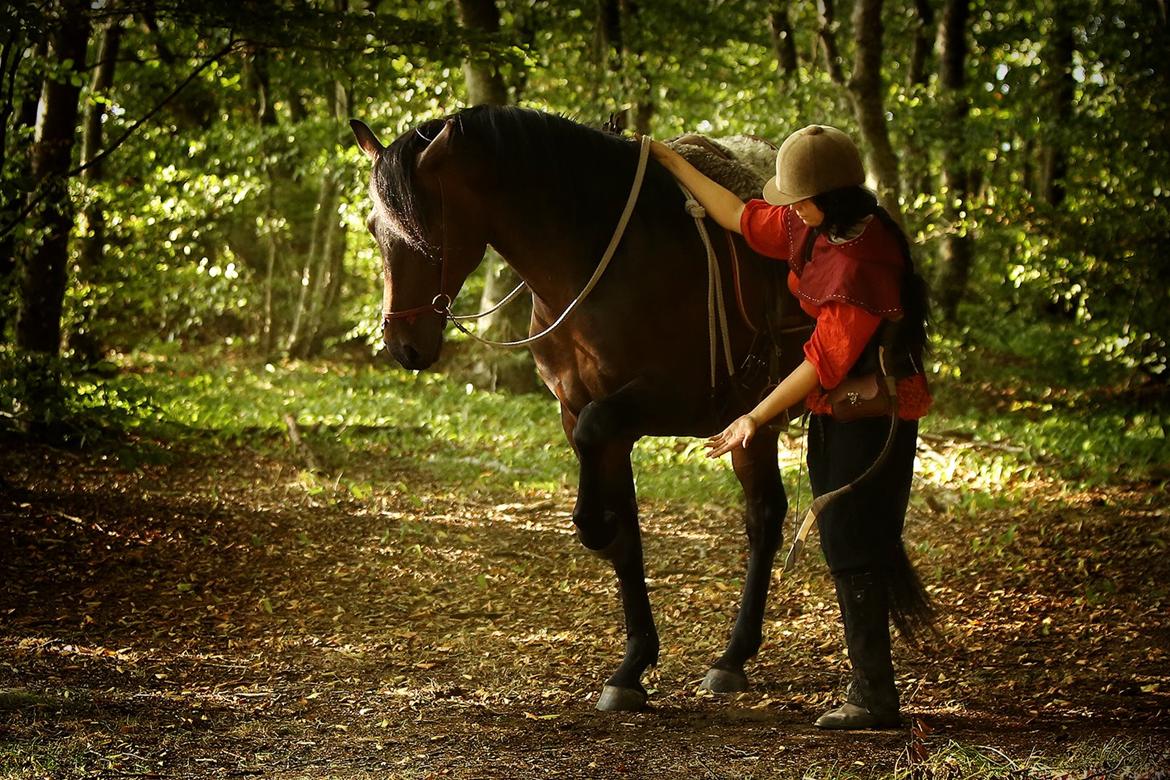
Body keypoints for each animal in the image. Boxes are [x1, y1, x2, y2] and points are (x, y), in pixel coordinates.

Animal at [348, 105, 814, 715]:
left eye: (424, 232)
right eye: (375, 229)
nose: (403, 345)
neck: (591, 259)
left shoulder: (673, 402)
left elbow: (606, 511)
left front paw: (597, 529)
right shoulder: (582, 414)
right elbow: (627, 536)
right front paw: (632, 666)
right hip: (753, 426)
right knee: (764, 514)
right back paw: (734, 657)